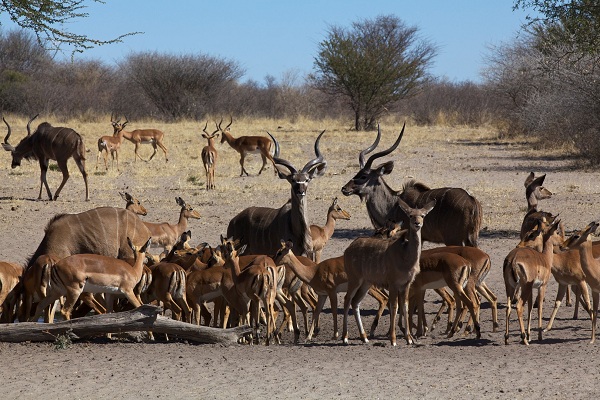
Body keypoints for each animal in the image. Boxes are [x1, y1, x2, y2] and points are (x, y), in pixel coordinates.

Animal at [342, 123, 482, 247]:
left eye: (364, 176)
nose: (344, 189)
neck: (393, 205)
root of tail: (472, 201)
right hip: (471, 239)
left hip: (453, 239)